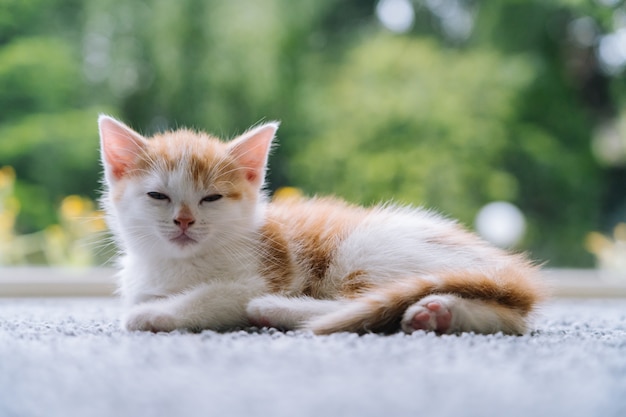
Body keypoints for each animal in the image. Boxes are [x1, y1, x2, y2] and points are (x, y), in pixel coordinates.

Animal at [98, 115, 544, 336]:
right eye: (158, 196)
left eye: (212, 198)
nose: (185, 220)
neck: (178, 265)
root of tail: (505, 266)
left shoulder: (261, 275)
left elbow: (215, 296)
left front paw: (155, 314)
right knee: (512, 319)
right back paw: (439, 315)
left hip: (363, 249)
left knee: (355, 302)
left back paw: (275, 310)